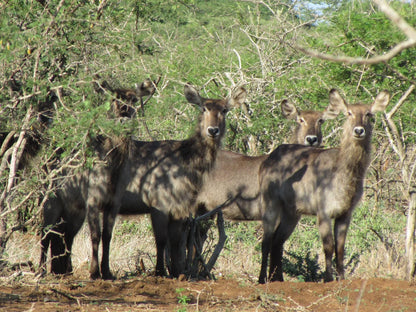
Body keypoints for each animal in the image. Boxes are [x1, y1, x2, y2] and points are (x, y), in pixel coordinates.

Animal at [256, 89, 390, 284]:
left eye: (368, 114)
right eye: (348, 113)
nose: (359, 130)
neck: (344, 173)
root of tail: (270, 157)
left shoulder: (345, 214)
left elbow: (340, 248)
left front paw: (341, 278)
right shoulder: (323, 212)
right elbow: (328, 246)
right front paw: (328, 278)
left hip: (292, 213)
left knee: (277, 241)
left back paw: (278, 279)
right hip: (270, 204)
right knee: (266, 241)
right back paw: (262, 279)